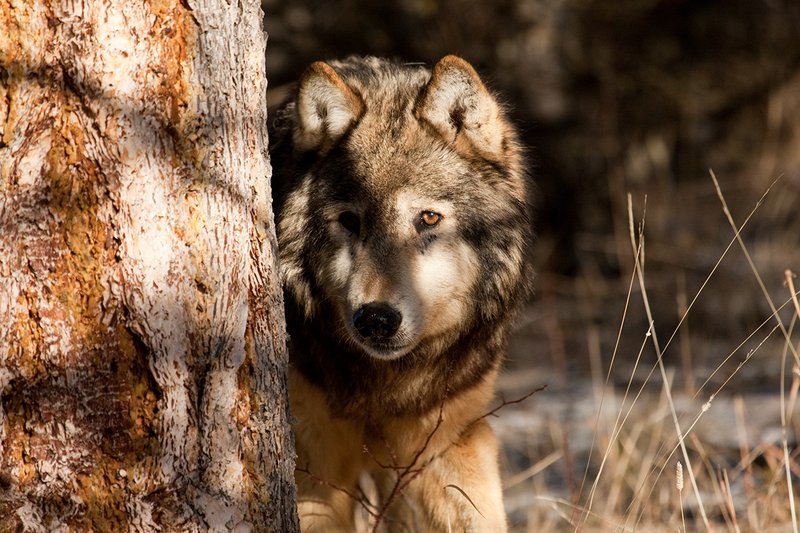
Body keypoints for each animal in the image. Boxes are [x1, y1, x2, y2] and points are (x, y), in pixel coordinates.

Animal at [269, 55, 533, 532]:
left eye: (428, 218)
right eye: (350, 221)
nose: (375, 319)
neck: (387, 386)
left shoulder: (451, 444)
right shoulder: (315, 461)